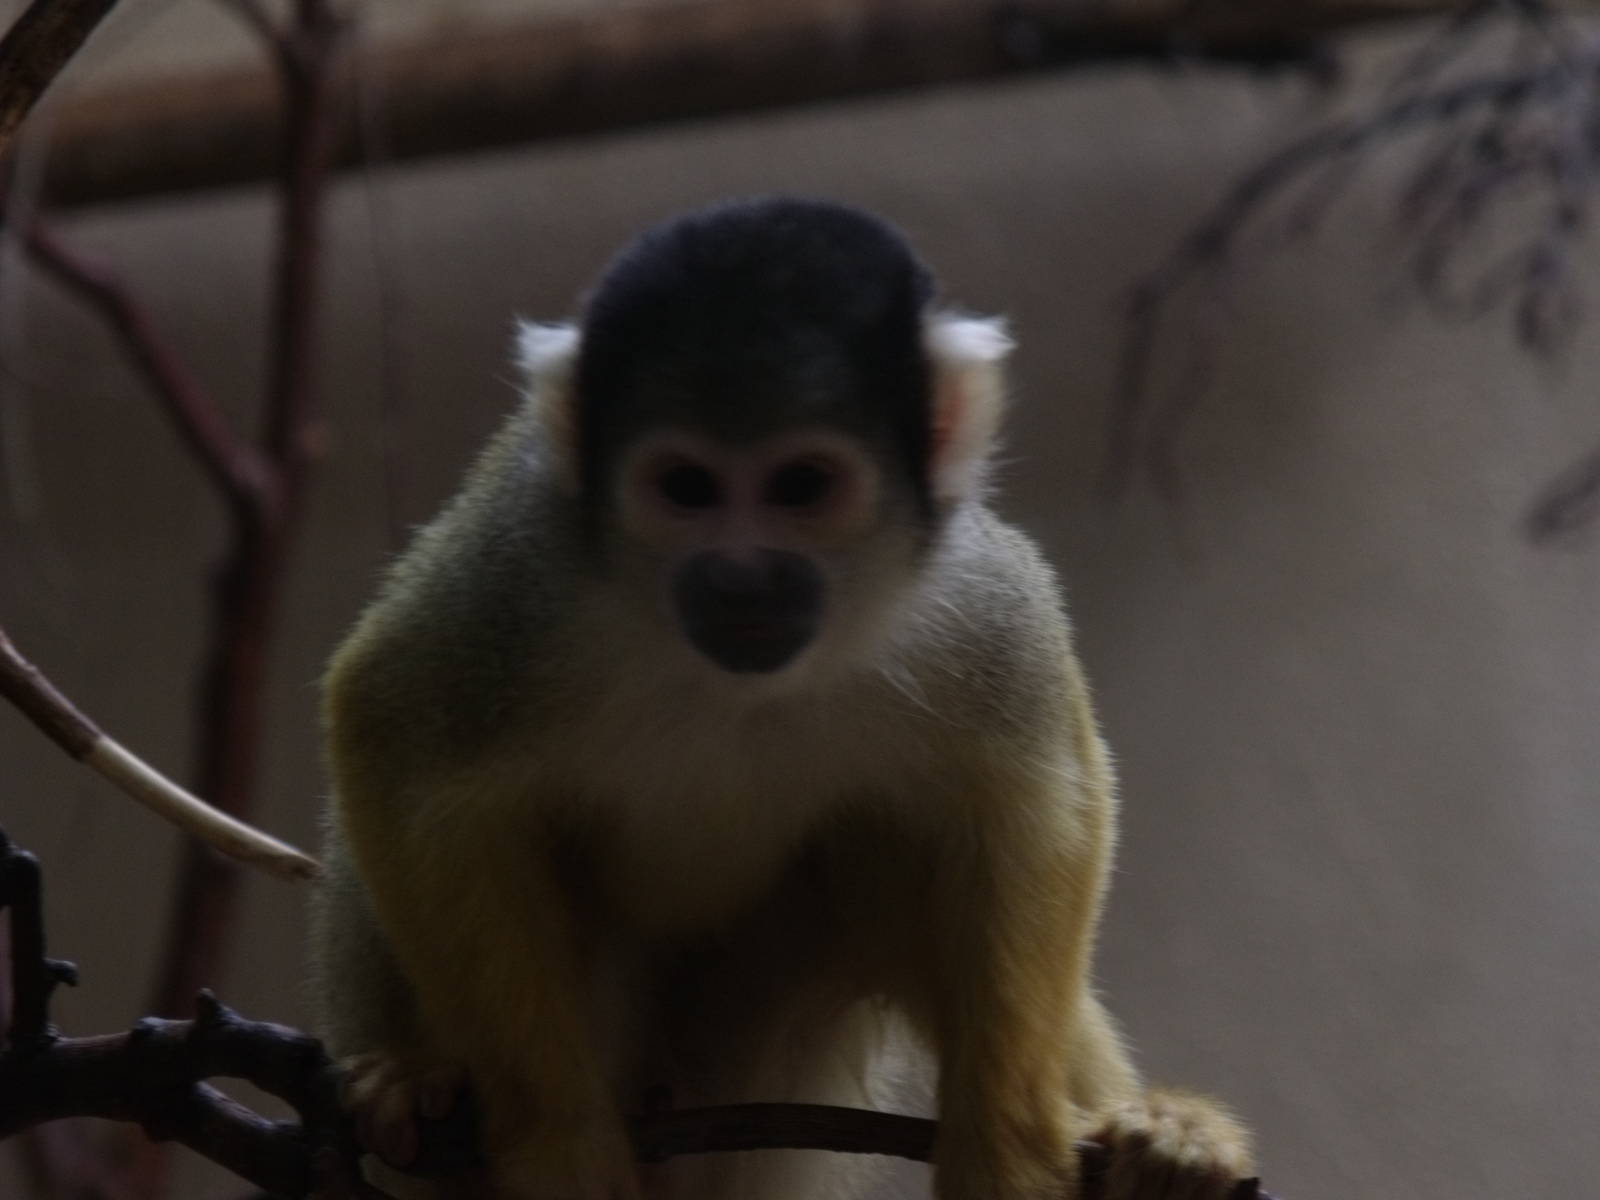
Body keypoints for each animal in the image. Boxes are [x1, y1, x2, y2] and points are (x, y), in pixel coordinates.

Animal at [310, 196, 1253, 1200]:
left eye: (801, 485)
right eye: (687, 486)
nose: (740, 579)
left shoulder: (979, 606)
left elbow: (1035, 803)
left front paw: (1006, 1137)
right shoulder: (522, 576)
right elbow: (392, 735)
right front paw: (557, 1137)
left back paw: (1165, 1140)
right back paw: (410, 1086)